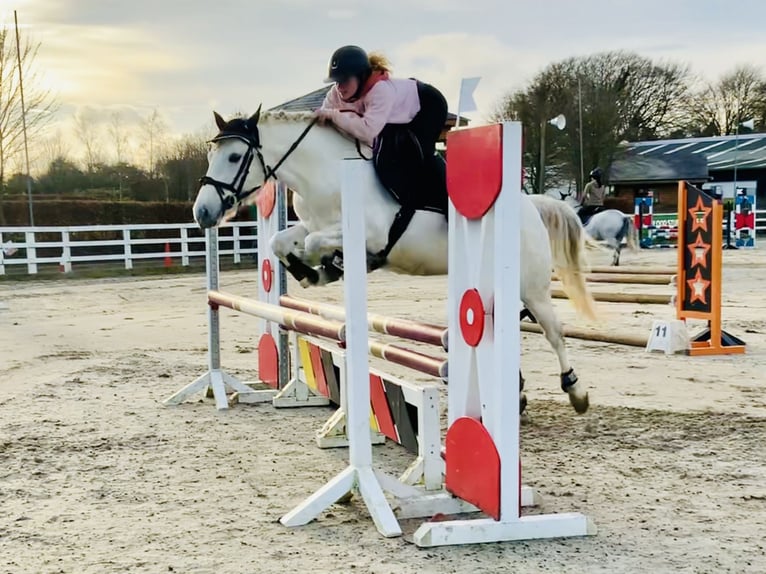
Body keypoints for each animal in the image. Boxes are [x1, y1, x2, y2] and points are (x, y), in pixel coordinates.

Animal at [192, 108, 600, 414]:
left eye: (234, 156)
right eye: (212, 156)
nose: (202, 212)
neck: (323, 174)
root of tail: (532, 206)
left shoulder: (368, 234)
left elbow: (313, 243)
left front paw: (326, 266)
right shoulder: (312, 224)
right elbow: (282, 241)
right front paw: (311, 271)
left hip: (531, 286)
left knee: (553, 331)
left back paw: (575, 391)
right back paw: (516, 394)